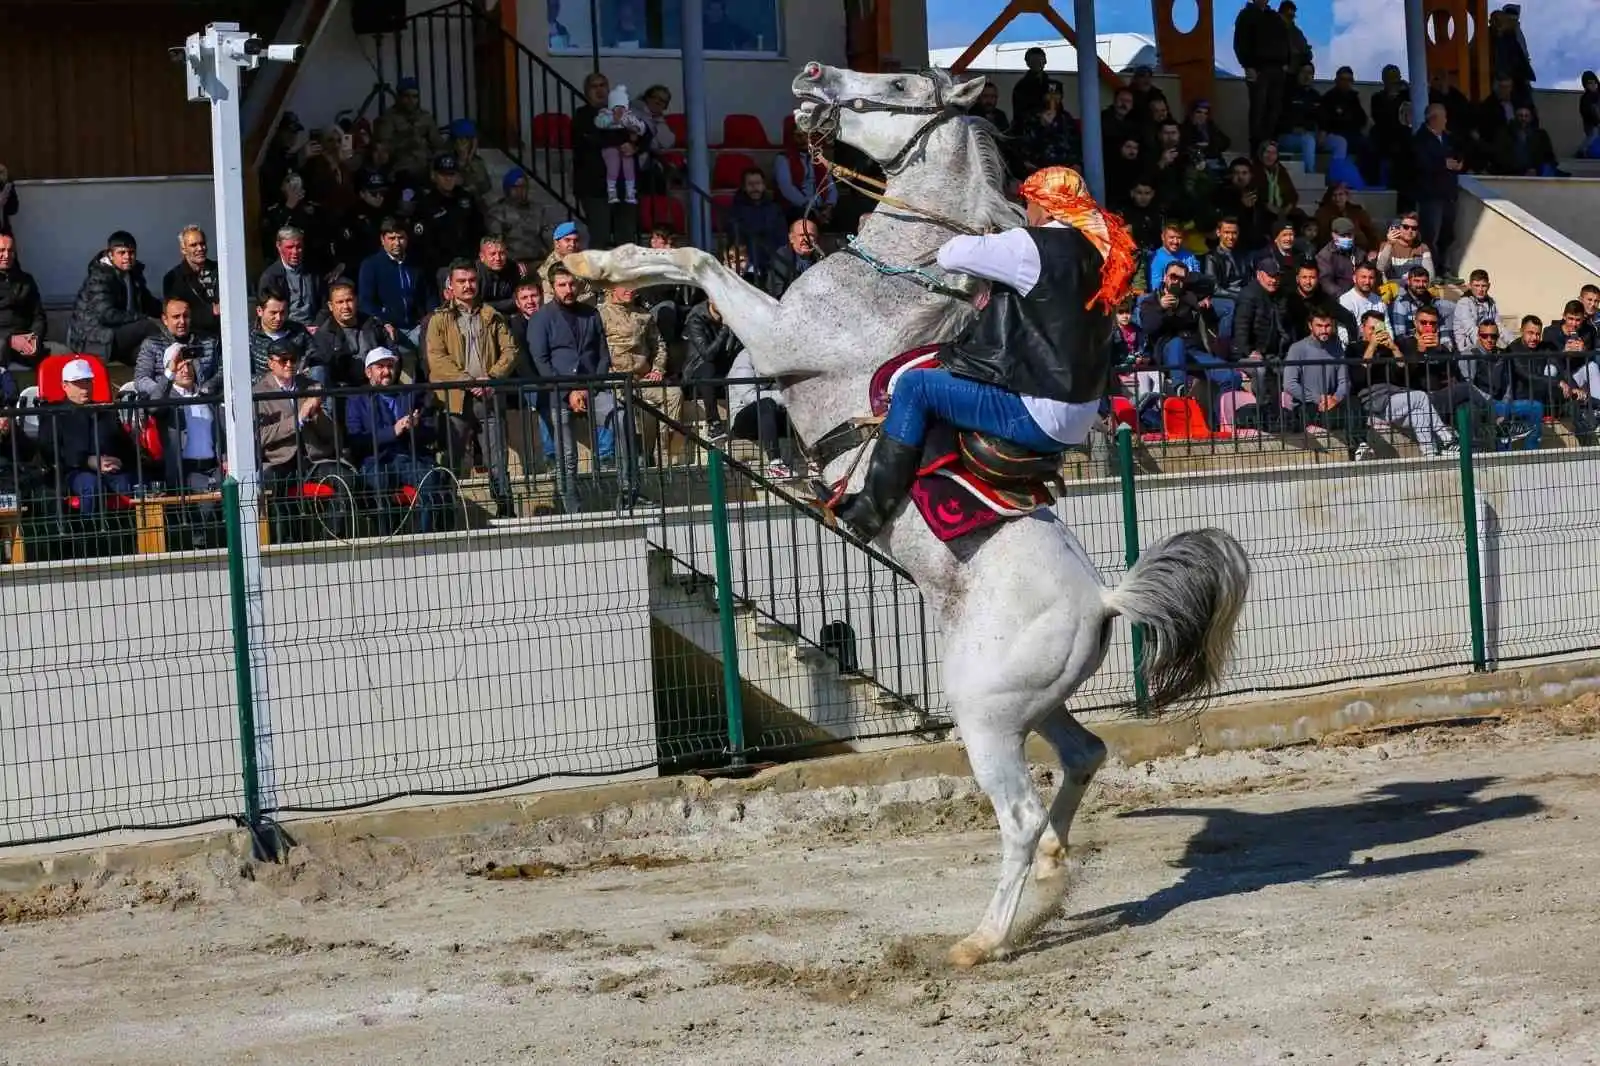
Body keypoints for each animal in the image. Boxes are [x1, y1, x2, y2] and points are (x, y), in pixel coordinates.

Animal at [569, 62, 1254, 966]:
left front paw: (596, 265)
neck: (894, 277)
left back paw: (984, 940)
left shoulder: (776, 334)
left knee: (1020, 816)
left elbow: (700, 261)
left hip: (986, 717)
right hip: (1027, 705)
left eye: (897, 83)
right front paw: (592, 263)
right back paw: (1050, 881)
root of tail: (1107, 599)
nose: (813, 77)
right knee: (1084, 756)